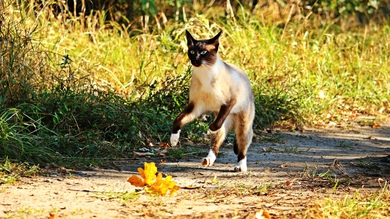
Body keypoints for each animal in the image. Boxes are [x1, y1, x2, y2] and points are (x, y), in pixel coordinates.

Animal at [169, 30, 254, 172]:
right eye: (192, 51)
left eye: (203, 52)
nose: (195, 60)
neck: (205, 73)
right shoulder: (195, 106)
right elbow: (178, 120)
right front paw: (174, 140)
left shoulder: (229, 102)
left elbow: (215, 125)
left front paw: (209, 129)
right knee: (216, 144)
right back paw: (207, 160)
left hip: (243, 126)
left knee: (242, 148)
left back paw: (240, 166)